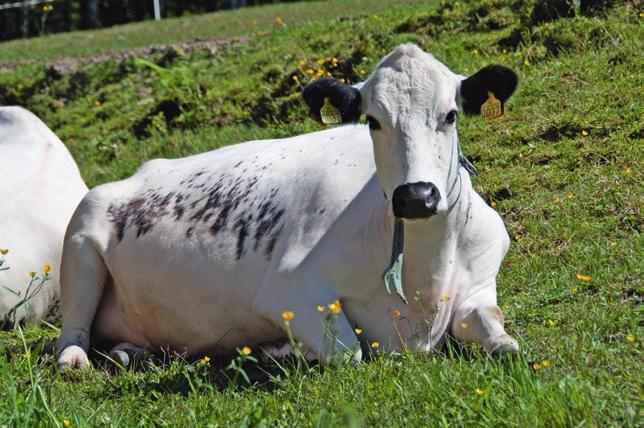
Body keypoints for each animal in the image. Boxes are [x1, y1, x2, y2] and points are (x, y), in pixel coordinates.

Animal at [55, 44, 520, 372]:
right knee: (71, 331)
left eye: (450, 115)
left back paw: (133, 353)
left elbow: (496, 328)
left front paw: (504, 342)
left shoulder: (480, 281)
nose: (416, 196)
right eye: (373, 120)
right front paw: (282, 351)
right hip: (80, 239)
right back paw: (76, 359)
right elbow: (349, 351)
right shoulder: (288, 290)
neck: (425, 279)